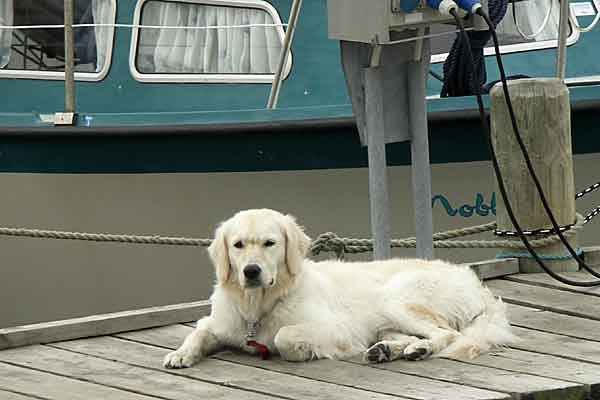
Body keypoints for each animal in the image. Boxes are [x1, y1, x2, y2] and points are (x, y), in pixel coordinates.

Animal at [163, 209, 516, 368]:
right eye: (237, 245)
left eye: (269, 243)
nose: (251, 271)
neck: (258, 305)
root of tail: (475, 283)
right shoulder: (218, 322)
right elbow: (197, 332)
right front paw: (180, 354)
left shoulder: (338, 329)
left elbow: (284, 336)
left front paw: (300, 349)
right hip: (388, 318)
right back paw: (389, 350)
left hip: (398, 298)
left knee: (447, 334)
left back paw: (420, 349)